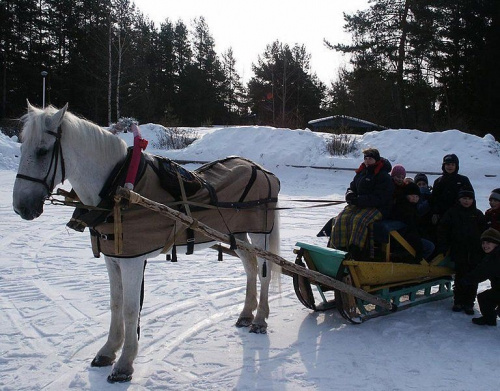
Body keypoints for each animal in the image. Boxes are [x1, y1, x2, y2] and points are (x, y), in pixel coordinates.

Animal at [11, 102, 280, 384]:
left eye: (42, 151)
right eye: (22, 146)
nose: (21, 207)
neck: (117, 189)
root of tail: (263, 171)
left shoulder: (132, 261)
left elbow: (130, 309)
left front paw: (124, 363)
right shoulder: (113, 258)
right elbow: (115, 303)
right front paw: (108, 350)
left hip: (260, 232)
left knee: (264, 272)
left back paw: (260, 319)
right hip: (236, 233)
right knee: (250, 266)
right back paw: (246, 313)